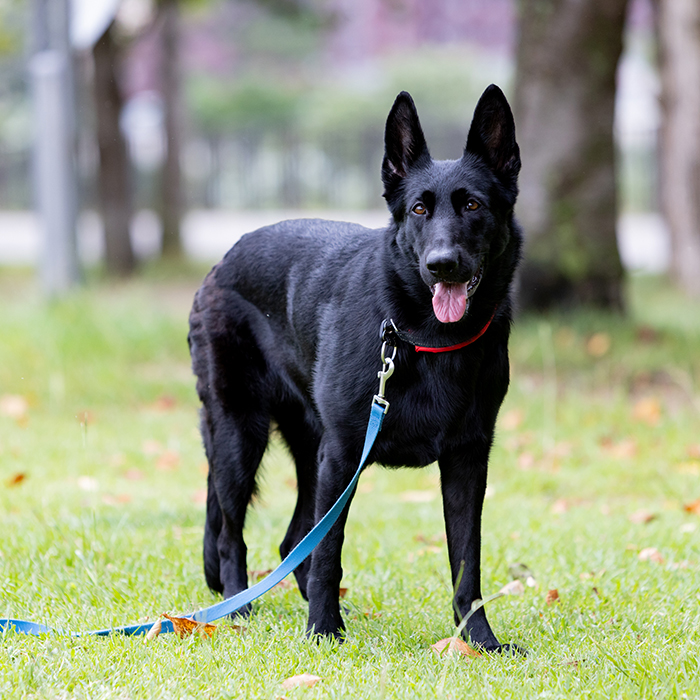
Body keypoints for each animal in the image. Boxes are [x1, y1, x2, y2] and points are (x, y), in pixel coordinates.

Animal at [189, 86, 524, 652]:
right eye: (419, 208)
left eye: (473, 205)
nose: (441, 264)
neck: (421, 336)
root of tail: (219, 266)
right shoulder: (344, 454)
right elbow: (329, 553)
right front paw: (323, 632)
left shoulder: (466, 461)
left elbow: (466, 564)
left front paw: (479, 640)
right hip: (242, 436)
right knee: (236, 534)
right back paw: (239, 609)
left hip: (309, 451)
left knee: (292, 540)